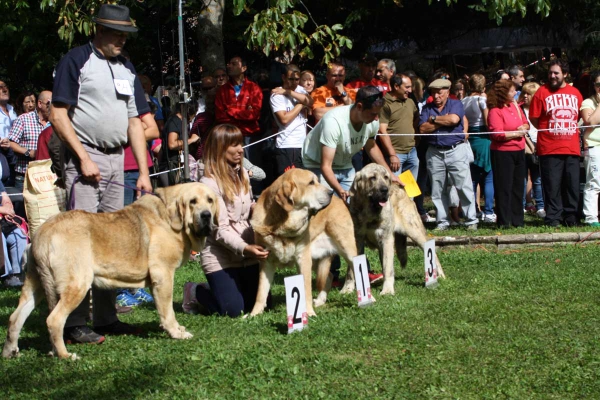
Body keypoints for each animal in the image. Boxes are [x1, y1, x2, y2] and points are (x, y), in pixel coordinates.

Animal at [2, 181, 218, 360]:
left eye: (210, 200)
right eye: (192, 202)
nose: (206, 215)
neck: (170, 216)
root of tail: (43, 233)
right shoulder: (164, 276)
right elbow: (167, 312)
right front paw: (176, 333)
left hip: (35, 286)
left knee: (15, 318)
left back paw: (10, 351)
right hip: (77, 285)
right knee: (54, 320)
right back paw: (65, 355)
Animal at [248, 170, 356, 318]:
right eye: (311, 182)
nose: (331, 192)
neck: (281, 226)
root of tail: (340, 200)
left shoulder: (303, 260)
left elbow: (306, 290)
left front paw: (309, 313)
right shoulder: (266, 262)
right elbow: (261, 292)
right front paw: (254, 314)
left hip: (347, 249)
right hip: (315, 259)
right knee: (328, 276)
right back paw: (321, 300)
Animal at [346, 164, 446, 296]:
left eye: (386, 177)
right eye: (372, 178)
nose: (385, 190)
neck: (369, 213)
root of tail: (401, 189)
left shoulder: (386, 240)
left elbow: (388, 268)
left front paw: (387, 290)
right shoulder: (357, 240)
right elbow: (351, 269)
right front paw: (347, 288)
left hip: (415, 233)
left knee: (432, 252)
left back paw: (439, 275)